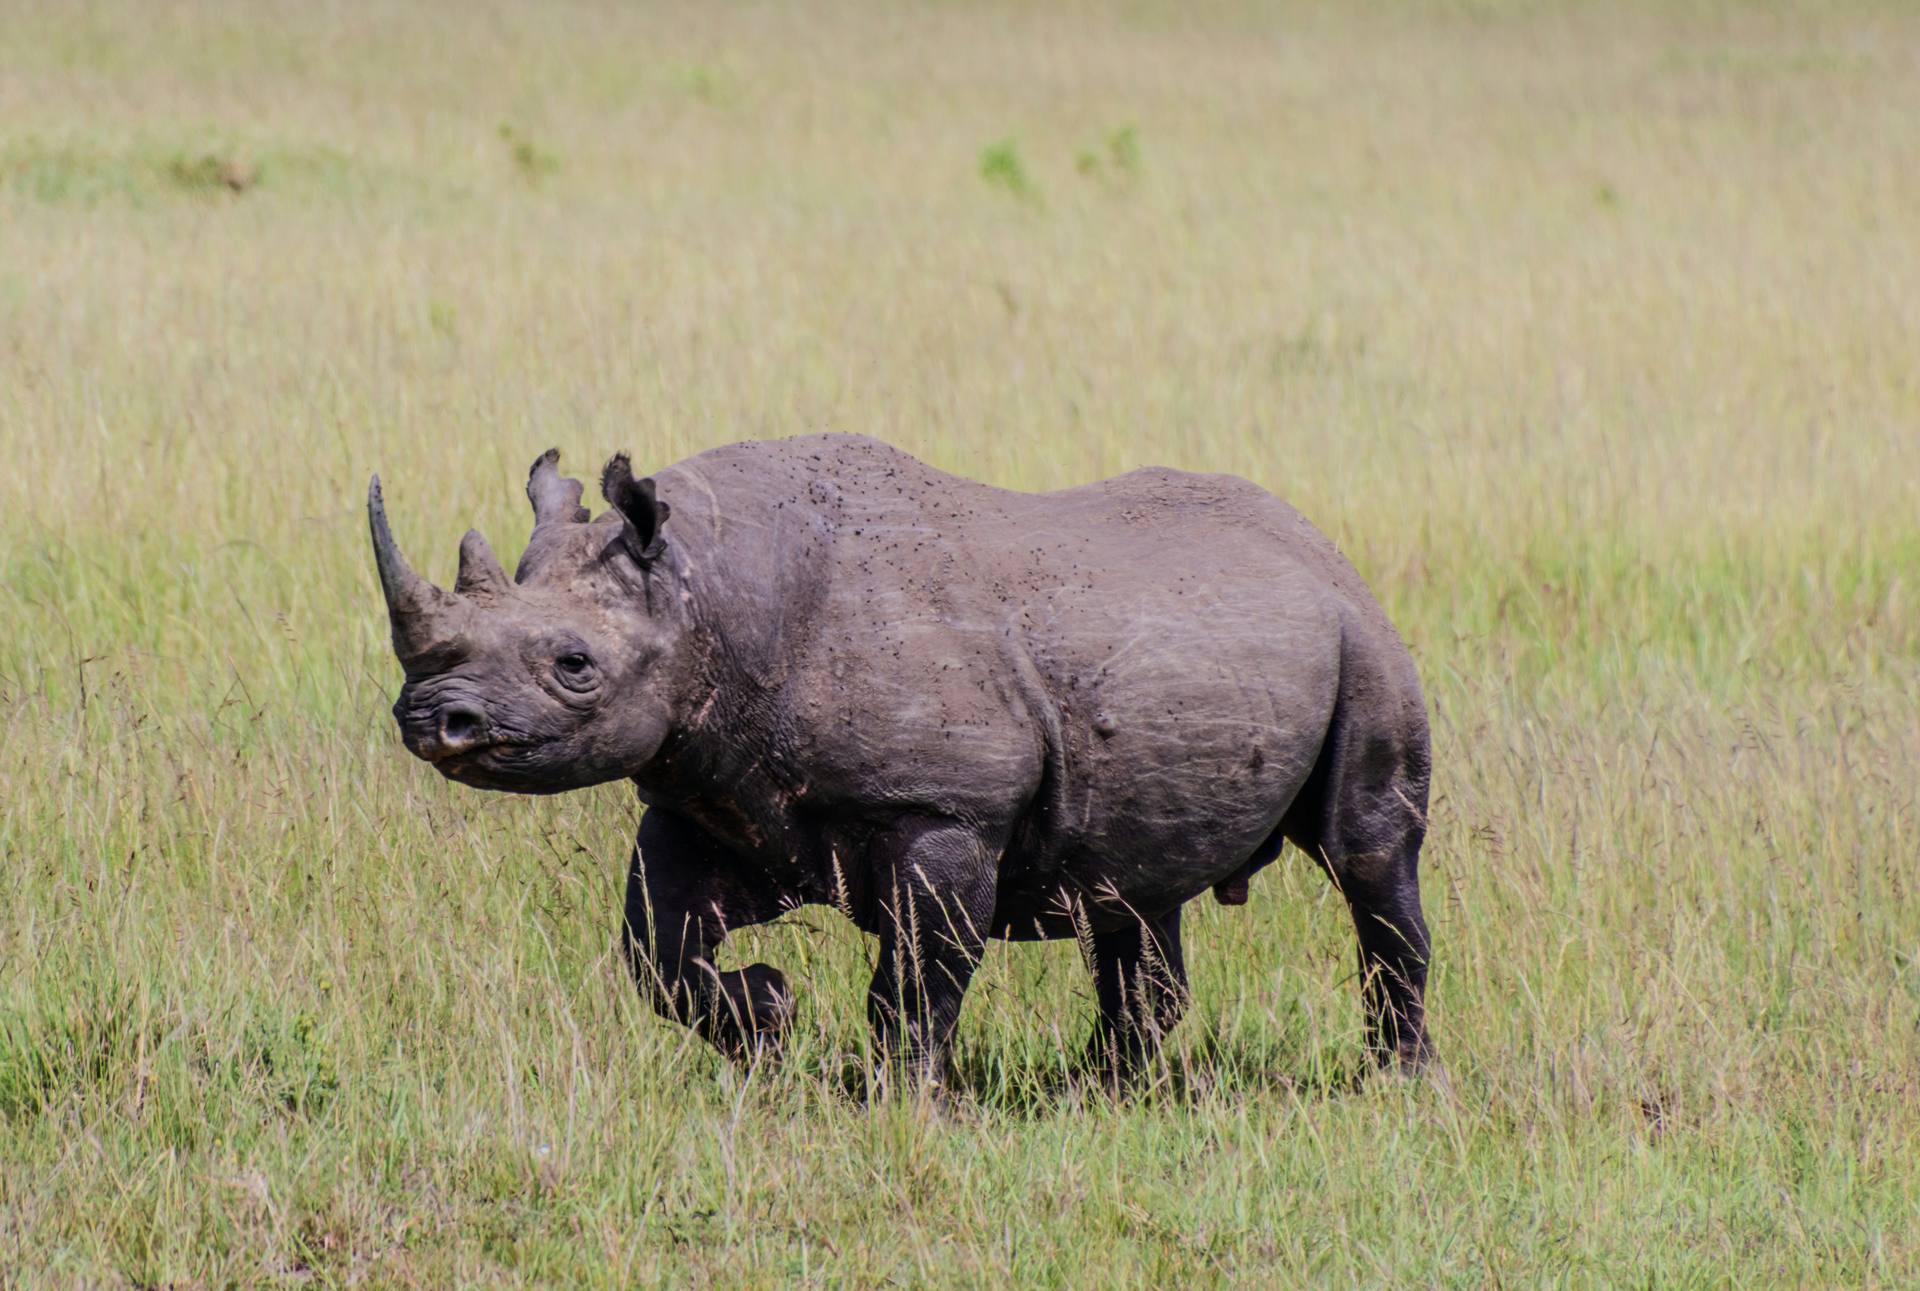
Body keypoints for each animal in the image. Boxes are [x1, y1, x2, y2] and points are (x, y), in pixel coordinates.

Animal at [369, 434, 1434, 1084]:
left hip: (1365, 641)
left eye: (575, 667)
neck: (709, 594)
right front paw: (769, 1016)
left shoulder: (945, 807)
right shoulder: (715, 788)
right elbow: (656, 949)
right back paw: (1097, 1092)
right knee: (1134, 888)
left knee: (1369, 854)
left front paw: (897, 1096)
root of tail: (1320, 543)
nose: (433, 718)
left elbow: (920, 974)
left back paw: (1395, 1079)